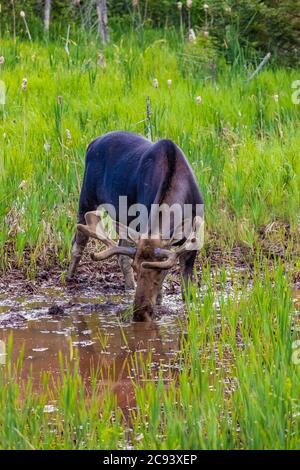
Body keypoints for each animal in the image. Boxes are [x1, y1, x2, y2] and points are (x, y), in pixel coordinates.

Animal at [67, 132, 204, 324]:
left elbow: (186, 288)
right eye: (136, 268)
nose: (139, 313)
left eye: (161, 272)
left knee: (120, 251)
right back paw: (69, 277)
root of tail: (92, 143)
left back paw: (129, 287)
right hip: (86, 197)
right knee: (79, 240)